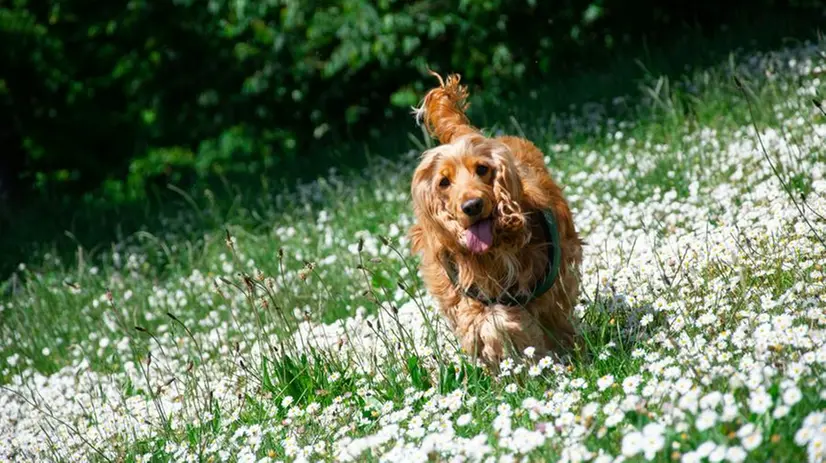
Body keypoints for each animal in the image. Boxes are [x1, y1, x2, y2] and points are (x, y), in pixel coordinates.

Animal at [406, 71, 580, 370]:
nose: (472, 206)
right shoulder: (462, 294)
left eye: (482, 169)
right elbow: (489, 321)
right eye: (443, 182)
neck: (495, 252)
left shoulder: (554, 280)